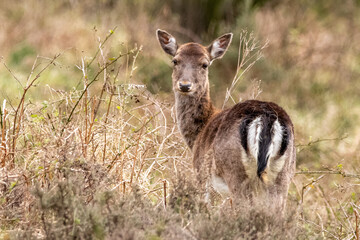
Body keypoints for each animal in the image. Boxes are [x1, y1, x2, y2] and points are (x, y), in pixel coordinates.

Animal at [156, 29, 296, 211]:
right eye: (175, 61)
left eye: (205, 64)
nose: (185, 85)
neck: (198, 135)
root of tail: (266, 118)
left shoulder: (201, 173)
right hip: (283, 176)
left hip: (235, 173)